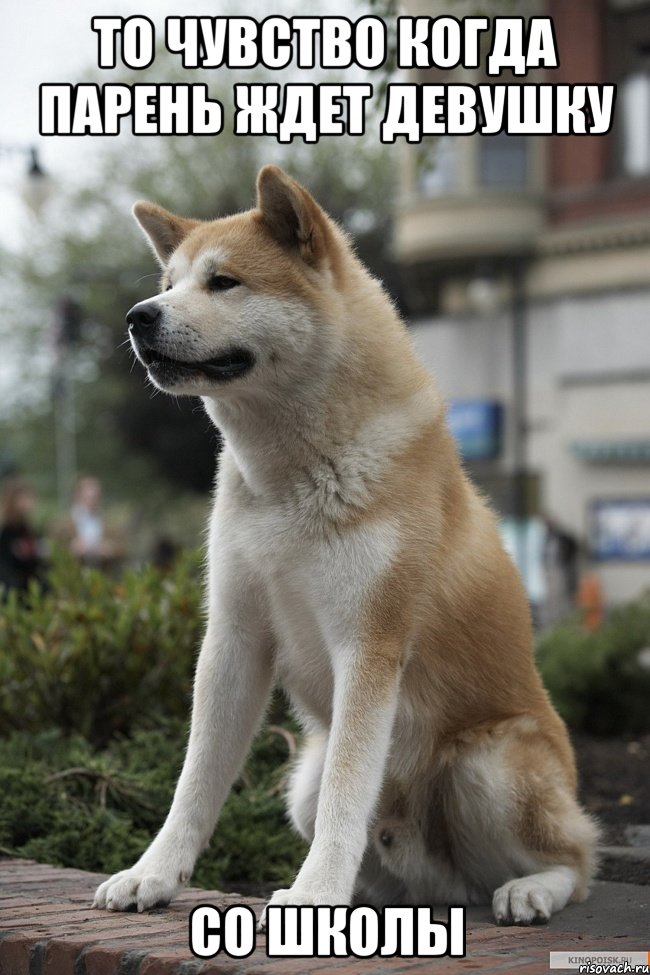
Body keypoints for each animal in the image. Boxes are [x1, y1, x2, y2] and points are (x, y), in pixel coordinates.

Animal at [93, 170, 596, 932]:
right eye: (169, 282)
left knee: (576, 861)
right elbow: (195, 784)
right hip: (301, 777)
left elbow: (346, 795)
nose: (137, 316)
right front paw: (152, 873)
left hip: (489, 765)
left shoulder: (369, 644)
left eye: (224, 282)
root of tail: (446, 887)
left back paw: (530, 889)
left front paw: (314, 896)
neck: (291, 477)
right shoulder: (234, 639)